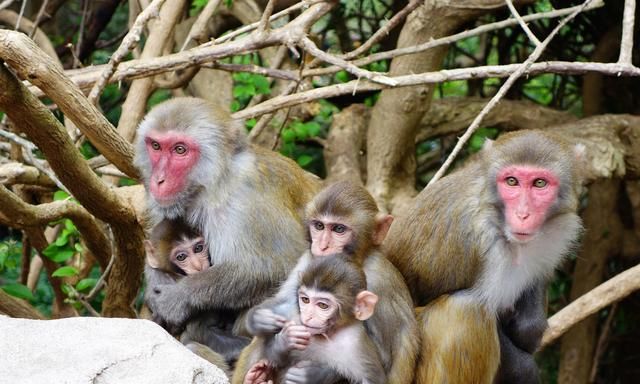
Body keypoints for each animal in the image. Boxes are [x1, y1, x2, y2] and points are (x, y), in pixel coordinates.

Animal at [240, 255, 384, 384]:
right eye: (305, 300)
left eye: (322, 305)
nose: (308, 316)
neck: (328, 333)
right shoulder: (294, 316)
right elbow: (270, 356)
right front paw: (286, 338)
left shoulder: (357, 345)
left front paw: (312, 375)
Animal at [382, 130, 588, 382]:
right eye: (512, 181)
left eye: (540, 183)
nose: (522, 214)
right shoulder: (483, 243)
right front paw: (526, 368)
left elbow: (529, 326)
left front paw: (530, 327)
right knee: (465, 310)